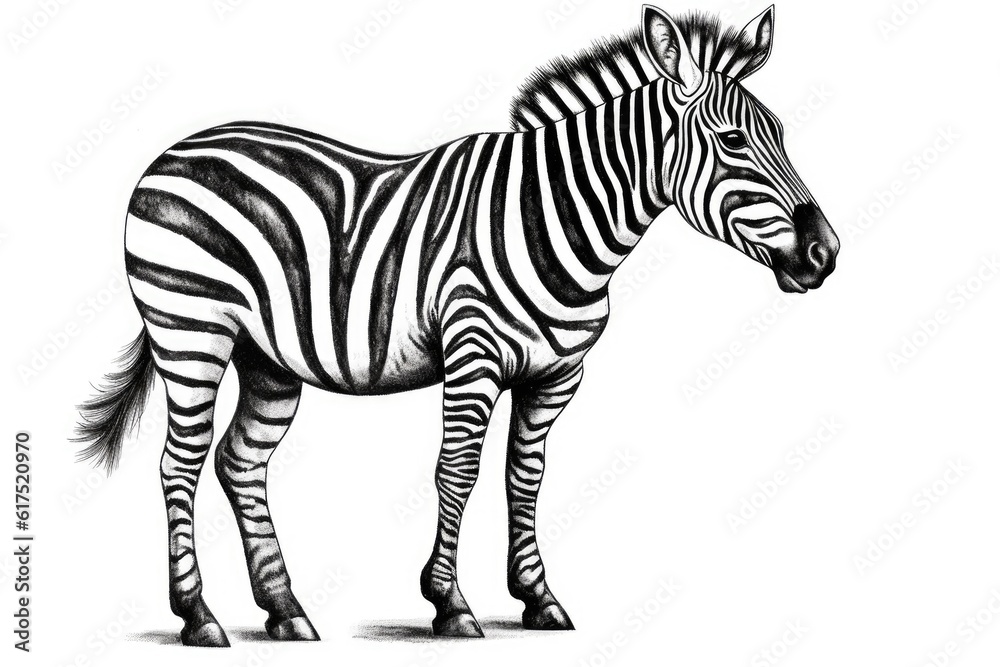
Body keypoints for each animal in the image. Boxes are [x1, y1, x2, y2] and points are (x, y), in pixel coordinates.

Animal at [74, 4, 839, 646]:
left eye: (781, 136)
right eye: (733, 141)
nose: (825, 253)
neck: (560, 221)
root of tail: (172, 151)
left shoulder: (557, 374)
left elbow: (524, 475)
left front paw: (536, 597)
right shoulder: (473, 353)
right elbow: (458, 472)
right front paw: (450, 602)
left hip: (268, 358)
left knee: (240, 461)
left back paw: (285, 610)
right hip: (191, 329)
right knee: (180, 462)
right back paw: (198, 616)